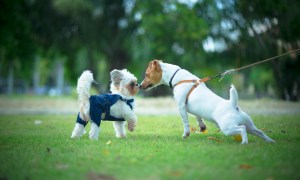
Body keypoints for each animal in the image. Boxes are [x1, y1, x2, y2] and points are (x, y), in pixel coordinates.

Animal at [139, 59, 276, 144]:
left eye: (146, 74)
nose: (139, 86)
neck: (176, 77)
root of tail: (234, 105)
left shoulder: (181, 107)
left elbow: (185, 122)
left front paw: (186, 134)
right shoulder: (193, 110)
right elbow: (198, 117)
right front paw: (202, 127)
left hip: (228, 128)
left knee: (242, 129)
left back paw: (244, 142)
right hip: (250, 126)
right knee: (259, 131)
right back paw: (270, 141)